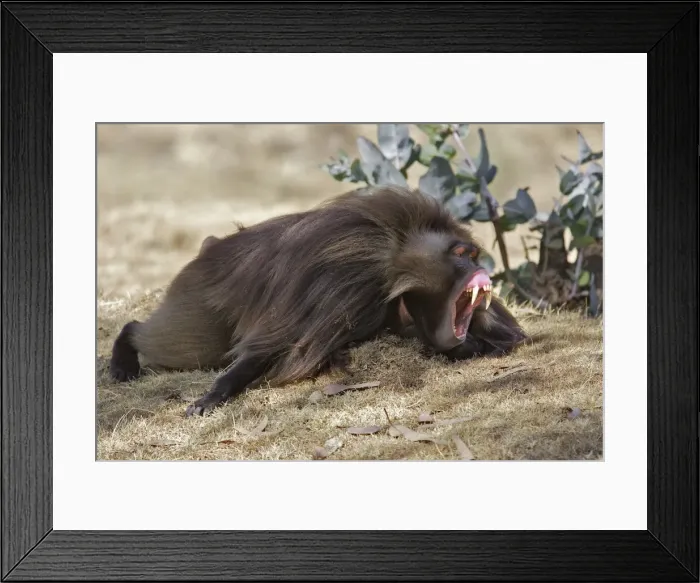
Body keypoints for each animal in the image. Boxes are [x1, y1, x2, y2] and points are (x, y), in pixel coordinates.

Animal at [109, 185, 529, 417]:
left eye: (472, 255)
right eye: (461, 254)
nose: (481, 266)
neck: (394, 265)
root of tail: (211, 249)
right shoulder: (341, 283)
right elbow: (267, 346)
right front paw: (212, 395)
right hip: (198, 298)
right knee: (168, 340)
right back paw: (124, 357)